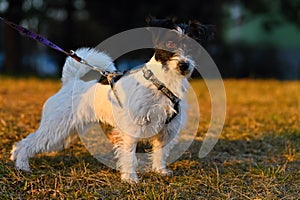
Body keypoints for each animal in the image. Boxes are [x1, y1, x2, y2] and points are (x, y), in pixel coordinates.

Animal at [10, 17, 214, 183]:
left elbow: (160, 153)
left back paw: (15, 158)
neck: (161, 83)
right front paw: (130, 178)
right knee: (27, 142)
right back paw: (22, 164)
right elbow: (130, 155)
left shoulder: (167, 130)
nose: (184, 65)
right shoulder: (132, 129)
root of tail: (70, 83)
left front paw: (160, 171)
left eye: (192, 47)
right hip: (55, 128)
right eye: (170, 43)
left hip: (66, 131)